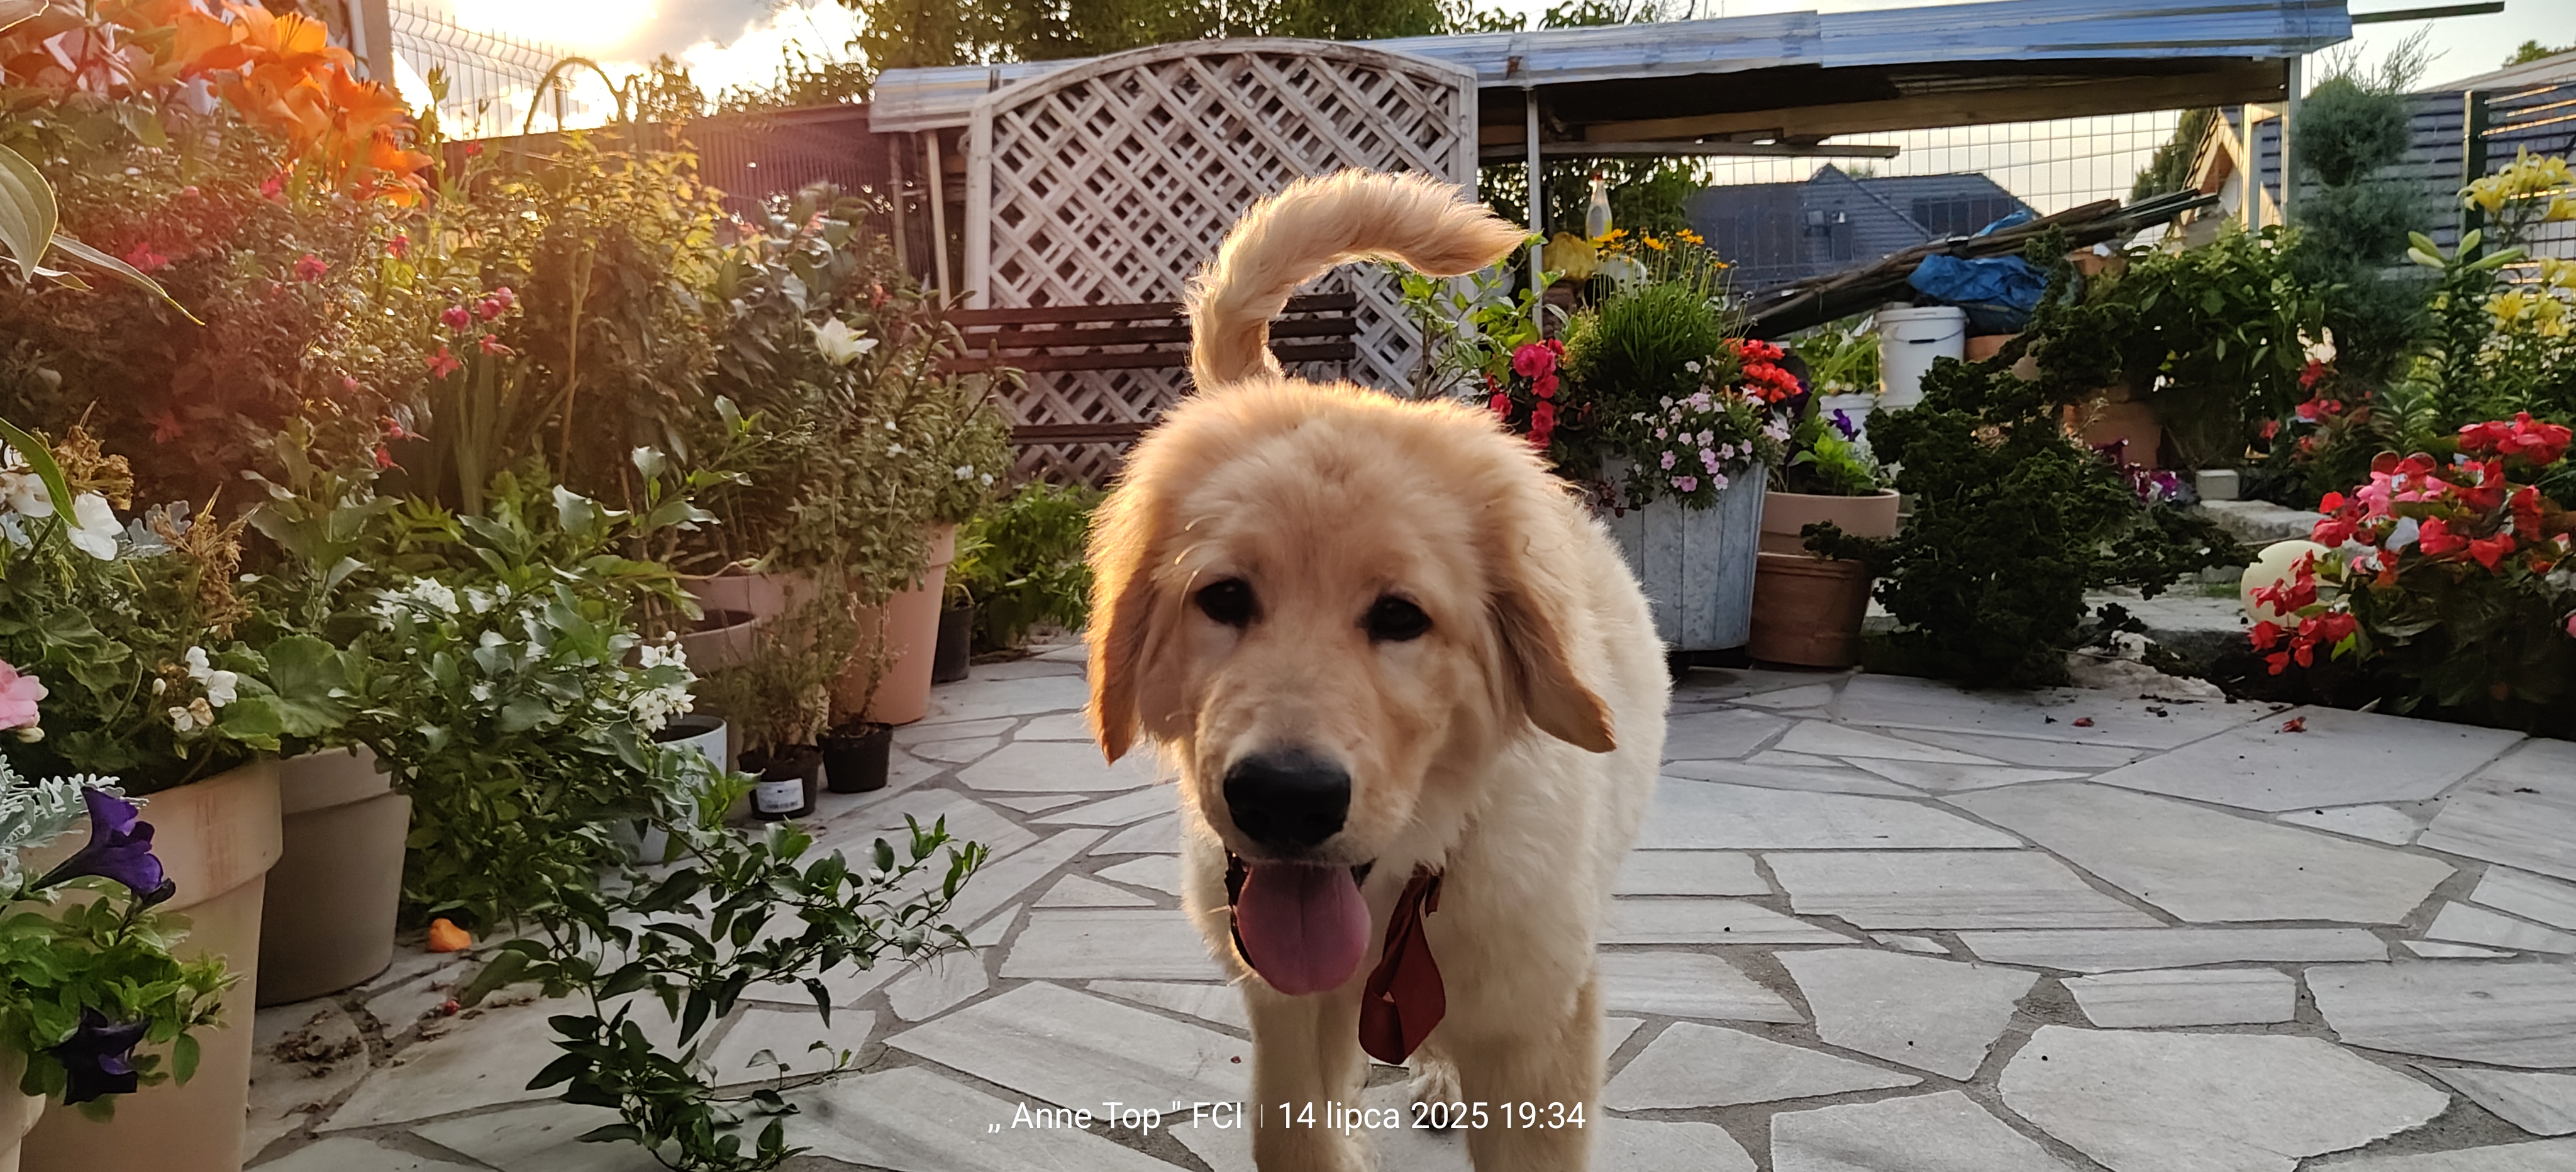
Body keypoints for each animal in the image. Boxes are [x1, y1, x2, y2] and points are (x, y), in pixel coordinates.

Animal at [1085, 170, 1669, 1171]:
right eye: (1224, 598)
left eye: (1401, 618)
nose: (1286, 799)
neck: (1404, 882)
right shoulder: (1284, 1009)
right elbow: (1296, 1133)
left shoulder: (1539, 1025)